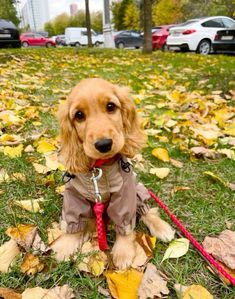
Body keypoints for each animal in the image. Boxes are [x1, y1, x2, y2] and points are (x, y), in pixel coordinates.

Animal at [53, 78, 174, 270]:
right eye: (79, 115)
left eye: (111, 106)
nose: (103, 144)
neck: (100, 169)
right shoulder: (74, 194)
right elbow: (75, 220)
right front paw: (66, 245)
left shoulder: (125, 194)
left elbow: (124, 224)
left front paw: (123, 252)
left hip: (138, 190)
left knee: (147, 210)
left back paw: (161, 228)